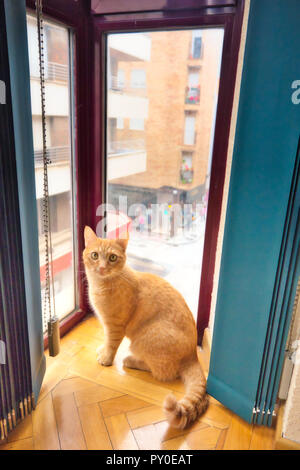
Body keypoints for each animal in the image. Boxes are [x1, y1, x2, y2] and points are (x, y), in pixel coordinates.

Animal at [83, 226, 207, 428]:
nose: (101, 267)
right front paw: (102, 350)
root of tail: (192, 355)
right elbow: (106, 341)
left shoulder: (115, 325)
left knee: (163, 372)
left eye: (112, 258)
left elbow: (111, 344)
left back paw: (131, 360)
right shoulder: (107, 324)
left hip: (143, 341)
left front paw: (106, 358)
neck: (101, 285)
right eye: (95, 255)